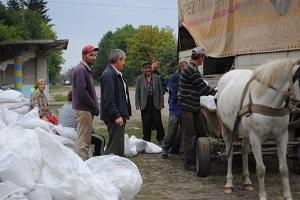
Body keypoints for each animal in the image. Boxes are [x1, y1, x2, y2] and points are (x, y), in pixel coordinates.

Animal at [217, 58, 300, 200]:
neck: (269, 102)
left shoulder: (282, 136)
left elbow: (284, 169)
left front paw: (288, 196)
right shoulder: (256, 137)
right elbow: (261, 169)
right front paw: (263, 196)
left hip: (245, 133)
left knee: (244, 151)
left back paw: (247, 181)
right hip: (226, 129)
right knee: (230, 153)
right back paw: (229, 184)